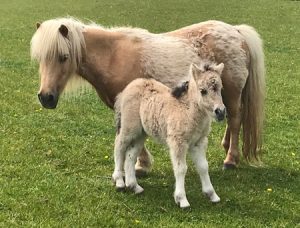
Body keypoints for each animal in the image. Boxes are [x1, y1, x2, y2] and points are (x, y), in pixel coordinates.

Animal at [30, 17, 264, 170]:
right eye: (41, 58)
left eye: (63, 57)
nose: (46, 97)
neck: (113, 57)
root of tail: (236, 31)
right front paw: (141, 164)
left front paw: (141, 165)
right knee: (229, 118)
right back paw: (225, 147)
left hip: (233, 93)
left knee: (235, 119)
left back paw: (231, 160)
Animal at [112, 61, 225, 208]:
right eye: (203, 91)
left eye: (220, 88)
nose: (220, 112)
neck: (188, 111)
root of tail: (128, 88)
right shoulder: (178, 142)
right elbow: (181, 168)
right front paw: (182, 199)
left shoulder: (199, 142)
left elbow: (203, 167)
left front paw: (212, 195)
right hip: (129, 127)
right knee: (119, 147)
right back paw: (119, 182)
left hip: (141, 133)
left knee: (131, 155)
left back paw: (134, 186)